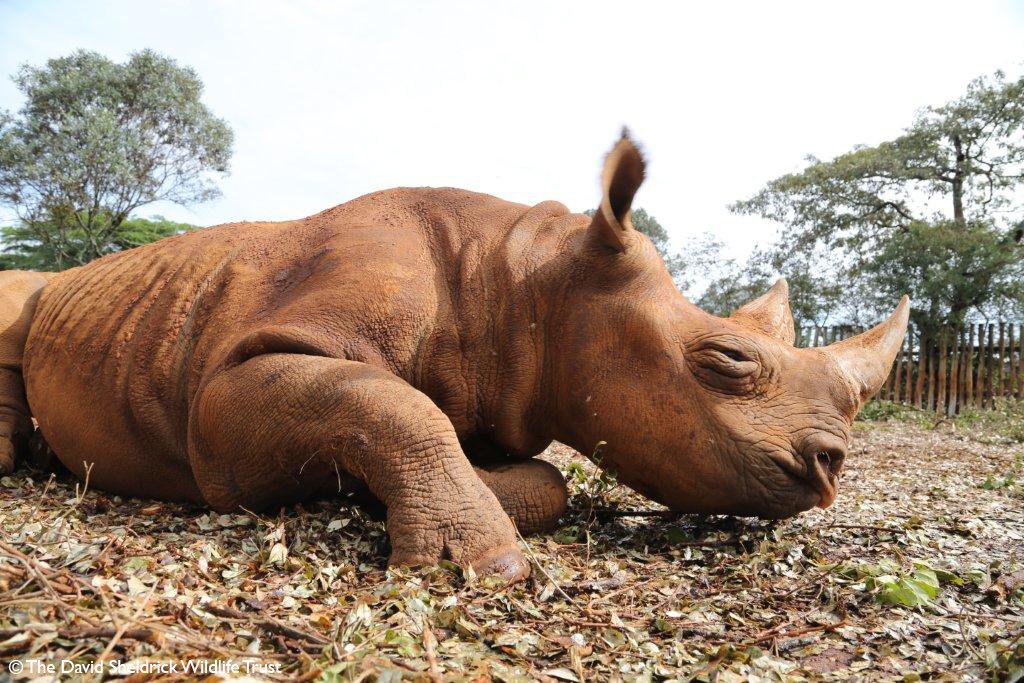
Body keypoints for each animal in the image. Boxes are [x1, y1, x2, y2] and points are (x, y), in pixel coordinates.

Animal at [0, 133, 908, 581]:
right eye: (725, 359)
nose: (832, 466)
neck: (529, 284)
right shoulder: (225, 398)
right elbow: (385, 402)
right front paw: (479, 559)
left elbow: (540, 476)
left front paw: (368, 494)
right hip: (50, 288)